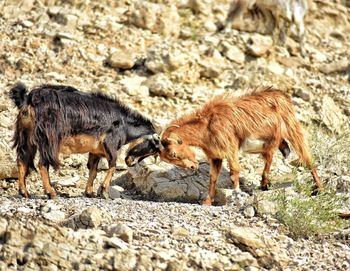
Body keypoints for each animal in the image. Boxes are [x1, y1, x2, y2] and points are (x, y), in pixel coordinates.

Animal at [8, 83, 159, 200]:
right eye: (150, 148)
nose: (131, 162)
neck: (123, 123)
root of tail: (28, 100)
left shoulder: (96, 150)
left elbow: (93, 169)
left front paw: (89, 192)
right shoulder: (110, 143)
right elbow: (112, 165)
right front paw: (104, 192)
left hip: (25, 136)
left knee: (22, 160)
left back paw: (24, 192)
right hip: (48, 139)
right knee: (42, 164)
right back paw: (51, 193)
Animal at [160, 88, 322, 205]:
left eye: (173, 153)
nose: (192, 167)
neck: (207, 125)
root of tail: (281, 95)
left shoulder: (230, 149)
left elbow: (234, 173)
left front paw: (237, 195)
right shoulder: (216, 156)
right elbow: (213, 178)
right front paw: (207, 202)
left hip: (292, 128)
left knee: (306, 157)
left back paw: (319, 188)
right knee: (272, 155)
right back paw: (266, 181)